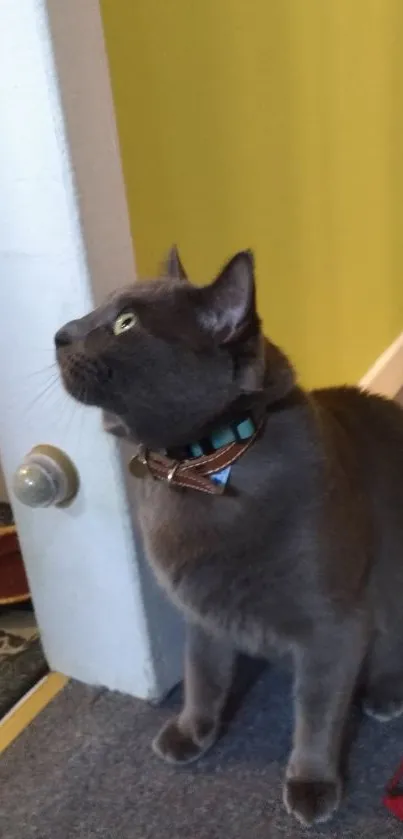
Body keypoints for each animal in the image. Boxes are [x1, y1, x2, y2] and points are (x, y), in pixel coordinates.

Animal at [55, 249, 403, 828]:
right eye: (100, 310)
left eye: (126, 324)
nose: (61, 333)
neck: (196, 469)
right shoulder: (201, 612)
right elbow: (202, 675)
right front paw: (191, 732)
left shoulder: (334, 626)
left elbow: (316, 711)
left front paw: (311, 784)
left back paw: (383, 693)